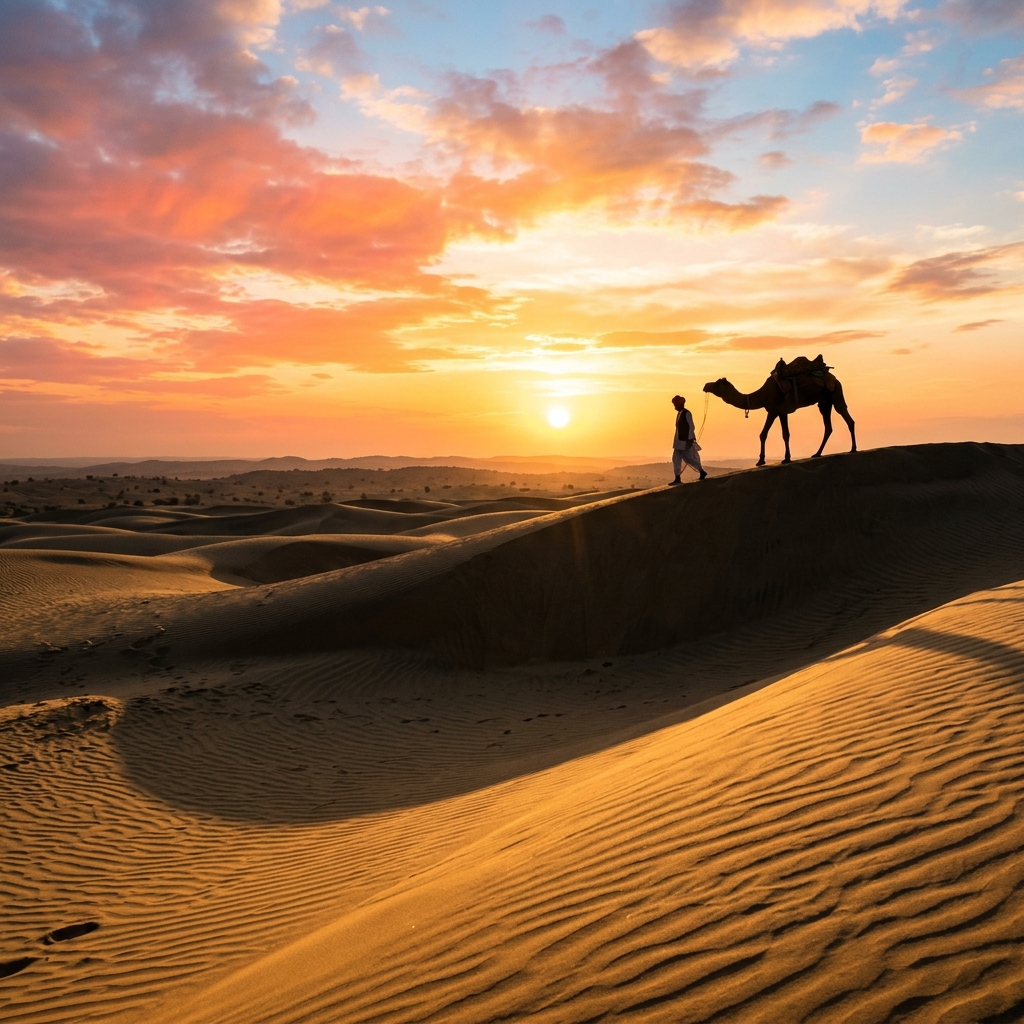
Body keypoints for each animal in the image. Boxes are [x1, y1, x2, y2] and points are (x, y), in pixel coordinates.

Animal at [703, 369, 856, 466]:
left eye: (717, 384)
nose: (705, 385)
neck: (763, 394)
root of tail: (835, 379)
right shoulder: (772, 411)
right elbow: (763, 434)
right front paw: (760, 461)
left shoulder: (781, 411)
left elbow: (785, 434)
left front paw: (786, 458)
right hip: (824, 402)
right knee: (828, 426)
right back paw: (817, 453)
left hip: (835, 393)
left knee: (848, 418)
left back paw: (853, 449)